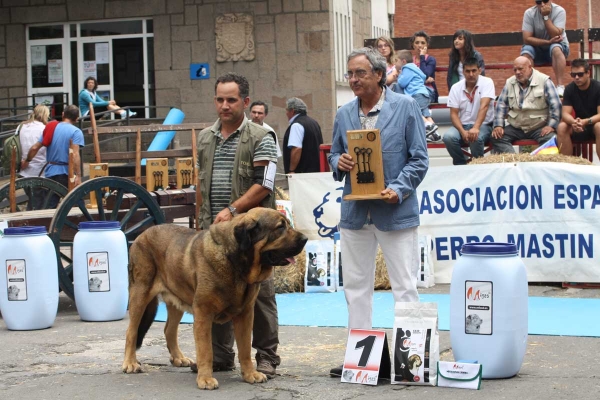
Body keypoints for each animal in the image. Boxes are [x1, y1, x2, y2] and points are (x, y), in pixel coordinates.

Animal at [123, 208, 308, 390]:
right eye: (280, 227)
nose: (305, 239)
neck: (236, 263)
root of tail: (142, 234)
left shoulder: (245, 314)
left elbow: (245, 349)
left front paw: (250, 374)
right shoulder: (203, 314)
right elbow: (206, 351)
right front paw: (205, 379)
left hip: (176, 299)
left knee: (169, 329)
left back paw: (178, 358)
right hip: (140, 293)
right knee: (132, 331)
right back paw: (130, 363)